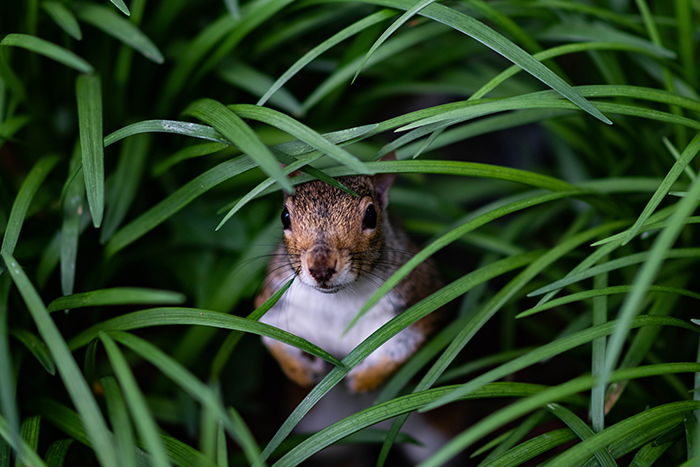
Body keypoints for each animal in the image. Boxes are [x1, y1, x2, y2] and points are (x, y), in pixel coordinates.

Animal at [258, 156, 442, 394]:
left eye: (371, 215)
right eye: (285, 216)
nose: (321, 269)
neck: (337, 300)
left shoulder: (417, 300)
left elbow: (401, 350)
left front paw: (363, 379)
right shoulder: (274, 303)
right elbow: (274, 340)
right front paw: (301, 371)